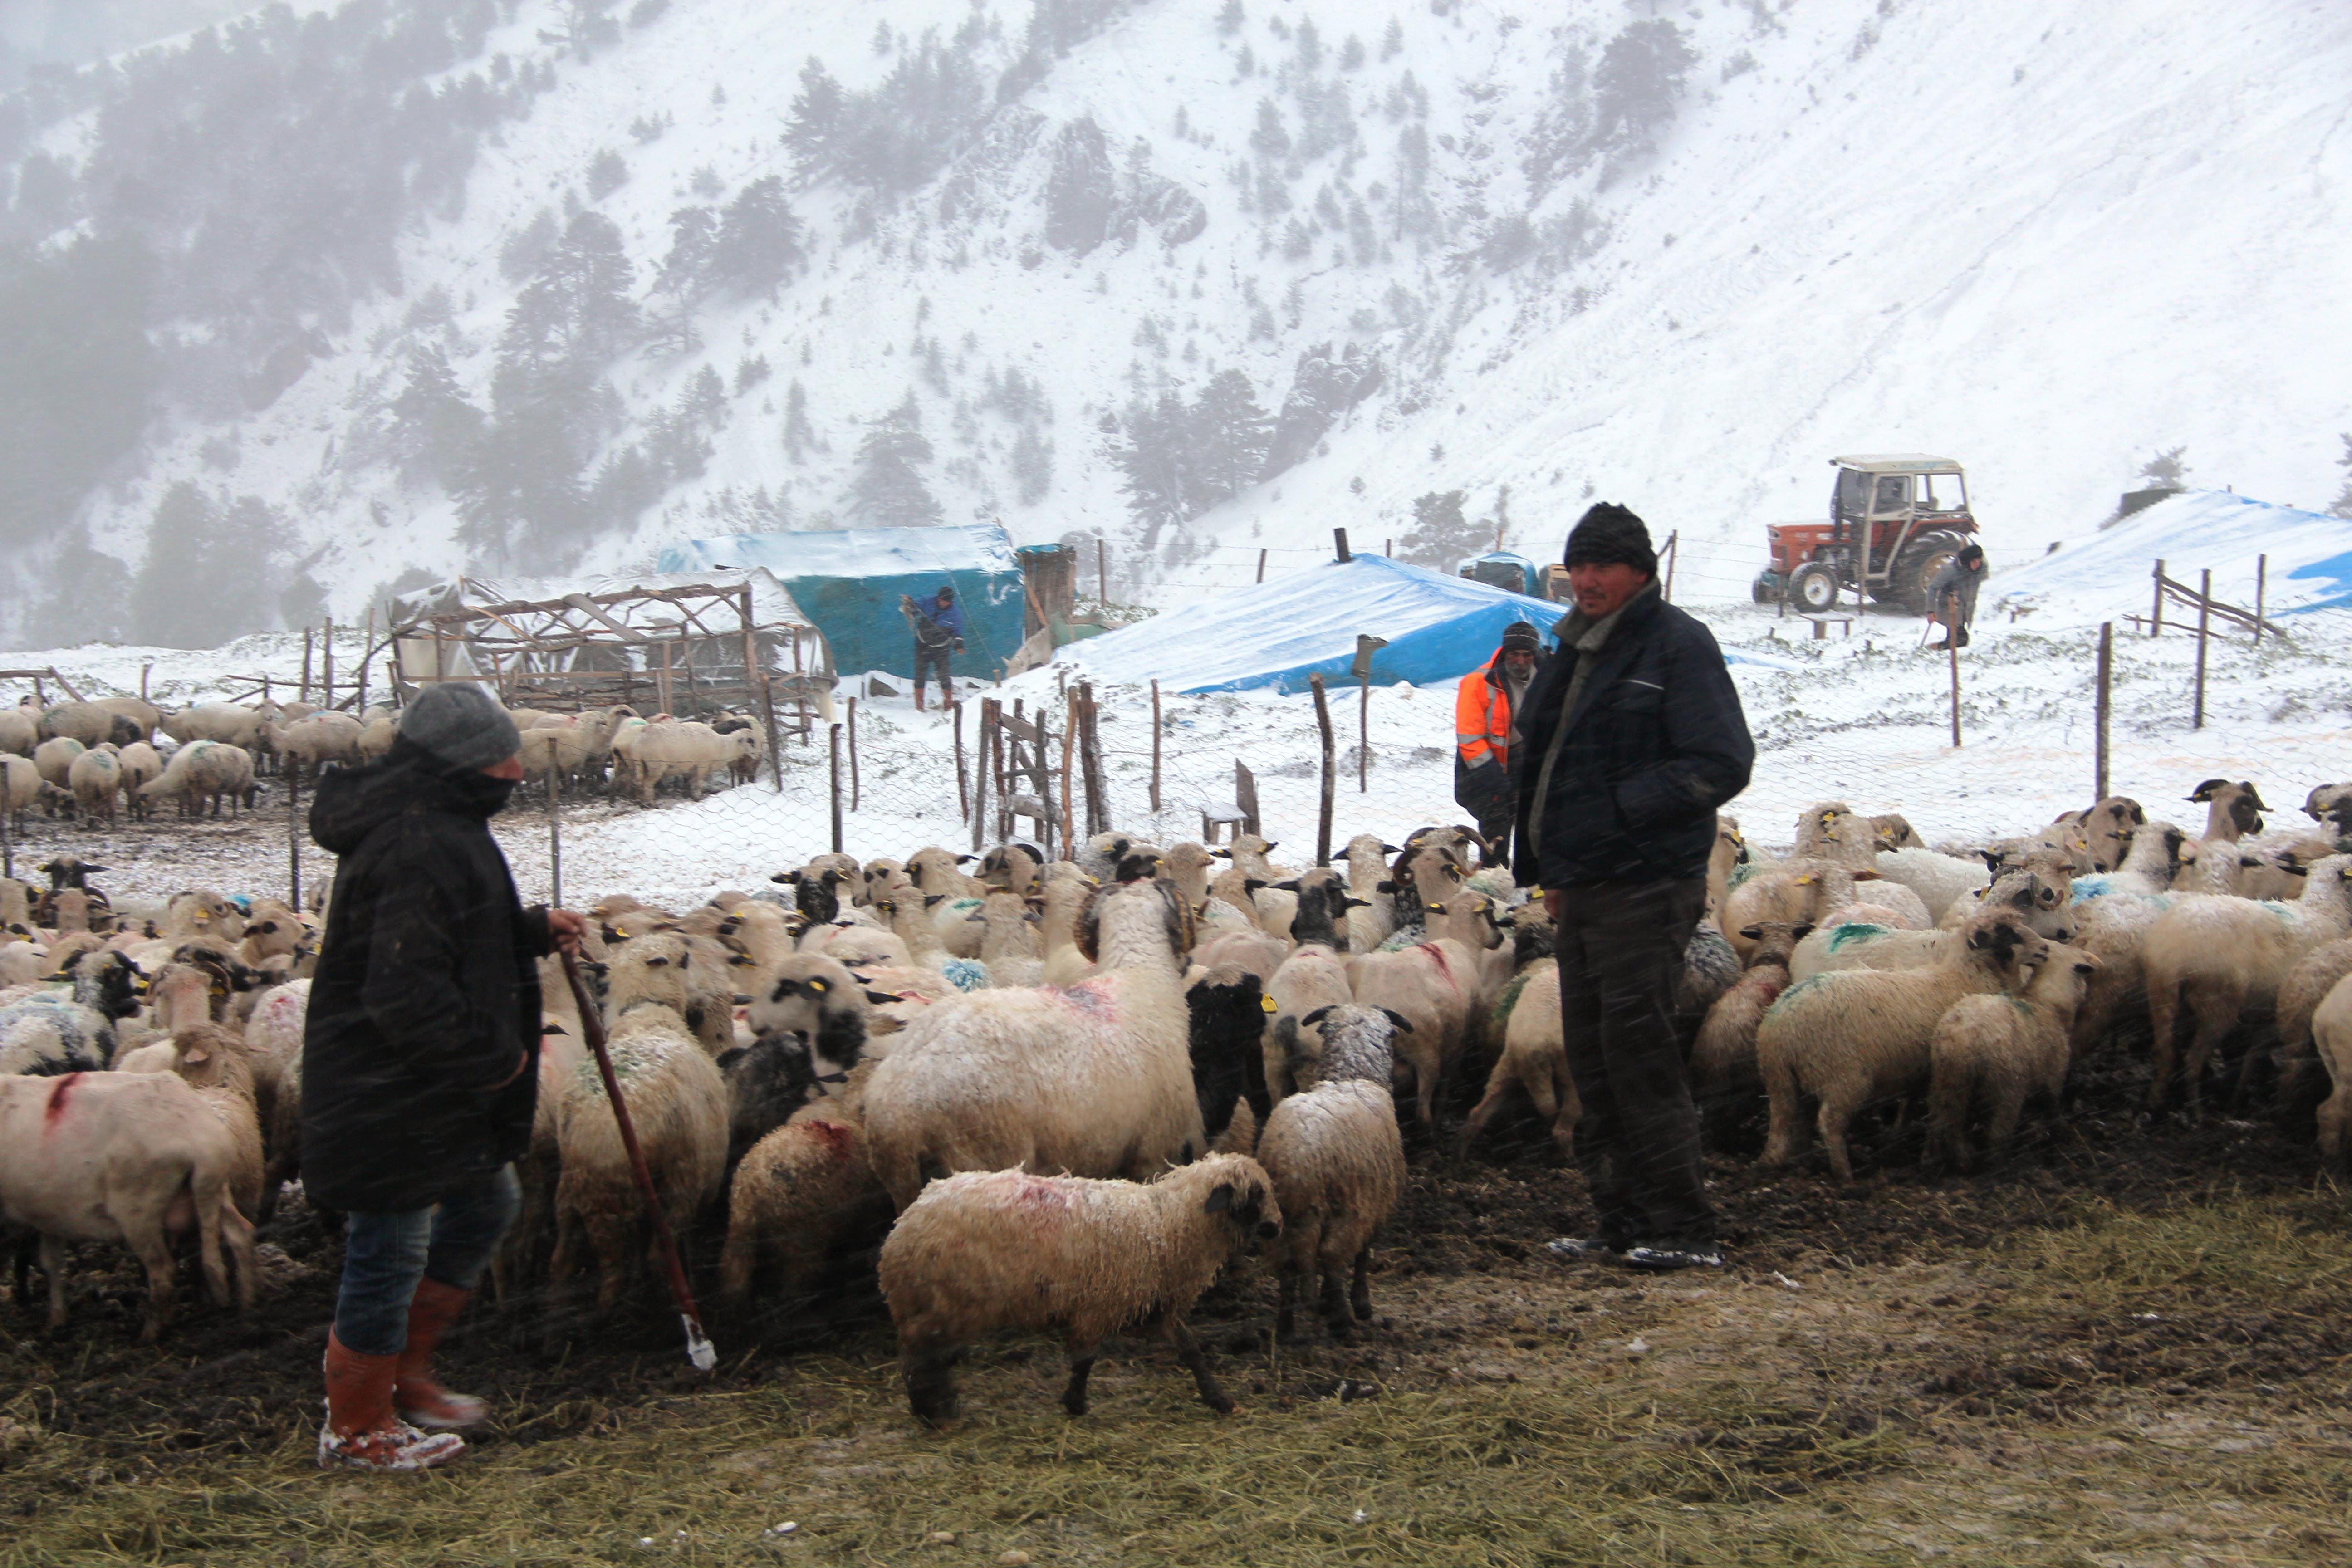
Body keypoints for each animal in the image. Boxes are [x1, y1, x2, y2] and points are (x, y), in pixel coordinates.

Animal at [0, 1072, 257, 1344]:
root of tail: (204, 1143)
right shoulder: (50, 1216)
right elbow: (51, 1262)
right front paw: (56, 1321)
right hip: (216, 1189)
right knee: (241, 1234)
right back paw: (247, 1306)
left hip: (138, 1209)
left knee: (162, 1269)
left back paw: (150, 1333)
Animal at [856, 879, 1204, 1213]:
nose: (1188, 962)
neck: (1141, 975)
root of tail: (897, 1112)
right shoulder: (1153, 1151)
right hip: (988, 1151)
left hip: (901, 1179)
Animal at [1260, 1011, 1401, 1344]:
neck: (1350, 1075)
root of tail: (1300, 1162)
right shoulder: (1376, 1205)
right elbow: (1364, 1256)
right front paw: (1361, 1305)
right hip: (1349, 1208)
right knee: (1333, 1257)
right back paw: (1343, 1323)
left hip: (1280, 1220)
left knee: (1287, 1265)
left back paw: (1287, 1329)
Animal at [1759, 912, 2051, 1185]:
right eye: (2007, 933)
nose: (2045, 949)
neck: (1962, 978)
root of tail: (1780, 1024)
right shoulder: (1944, 1073)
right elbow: (1944, 1115)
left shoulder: (1917, 1071)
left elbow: (1914, 1106)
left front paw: (1904, 1136)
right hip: (1844, 1078)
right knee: (1829, 1122)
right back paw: (1845, 1173)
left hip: (1783, 1082)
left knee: (1789, 1120)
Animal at [2145, 851, 2352, 1109]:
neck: (2327, 911)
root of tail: (2176, 953)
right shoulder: (2277, 1018)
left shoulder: (2264, 1017)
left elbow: (2251, 1057)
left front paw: (2236, 1098)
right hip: (2217, 1005)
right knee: (2192, 1060)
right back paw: (2196, 1111)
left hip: (2161, 995)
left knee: (2164, 1051)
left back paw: (2156, 1102)